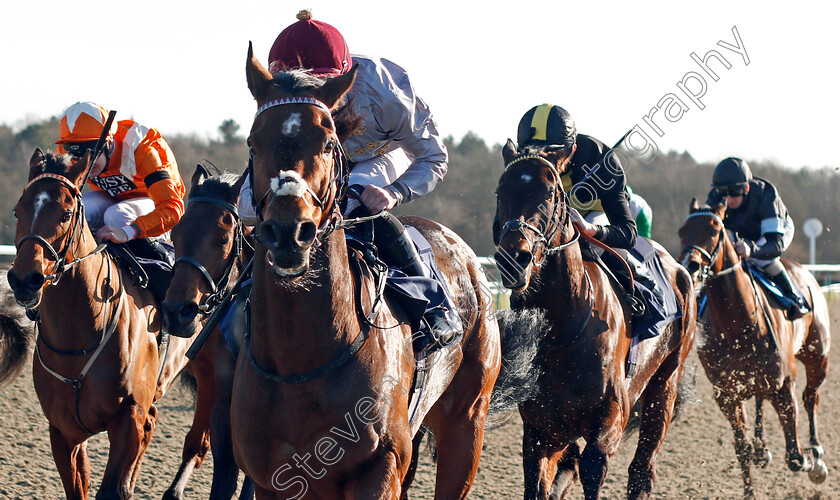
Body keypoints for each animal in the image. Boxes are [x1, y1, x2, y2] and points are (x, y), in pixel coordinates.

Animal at [5, 149, 192, 500]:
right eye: (17, 210)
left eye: (65, 213)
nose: (24, 279)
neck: (80, 337)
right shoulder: (63, 429)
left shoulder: (128, 416)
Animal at [230, 45, 502, 498]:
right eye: (253, 143)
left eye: (328, 142)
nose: (288, 232)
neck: (301, 363)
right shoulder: (270, 480)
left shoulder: (381, 465)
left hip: (467, 423)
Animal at [492, 142, 696, 500]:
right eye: (502, 192)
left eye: (549, 193)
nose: (513, 259)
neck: (563, 328)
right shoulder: (540, 428)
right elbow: (539, 483)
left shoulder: (611, 418)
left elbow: (591, 469)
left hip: (665, 384)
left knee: (642, 469)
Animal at [676, 198, 828, 496]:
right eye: (682, 231)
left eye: (714, 229)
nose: (691, 266)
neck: (738, 324)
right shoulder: (727, 394)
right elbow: (741, 448)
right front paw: (750, 486)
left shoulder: (784, 385)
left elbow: (794, 456)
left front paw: (806, 459)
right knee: (761, 400)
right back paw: (762, 448)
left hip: (818, 356)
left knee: (810, 397)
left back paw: (816, 455)